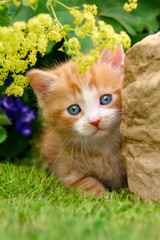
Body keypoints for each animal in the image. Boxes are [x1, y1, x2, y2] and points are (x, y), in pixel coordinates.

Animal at [27, 46, 127, 196]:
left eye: (106, 99)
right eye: (73, 109)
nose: (95, 121)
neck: (103, 147)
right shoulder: (67, 172)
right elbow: (87, 184)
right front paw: (102, 197)